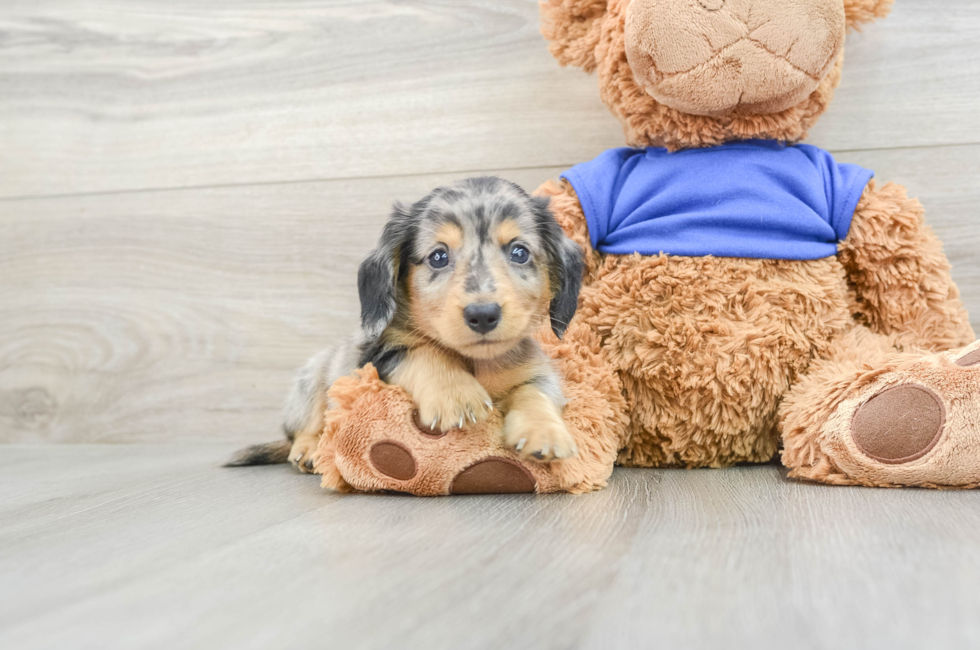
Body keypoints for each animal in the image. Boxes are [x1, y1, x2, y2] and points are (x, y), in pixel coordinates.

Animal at [226, 176, 580, 470]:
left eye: (519, 252)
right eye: (438, 256)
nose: (482, 315)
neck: (475, 362)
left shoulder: (536, 372)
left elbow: (535, 394)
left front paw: (545, 432)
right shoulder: (377, 357)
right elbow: (424, 351)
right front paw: (456, 395)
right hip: (312, 381)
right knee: (303, 430)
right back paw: (309, 450)